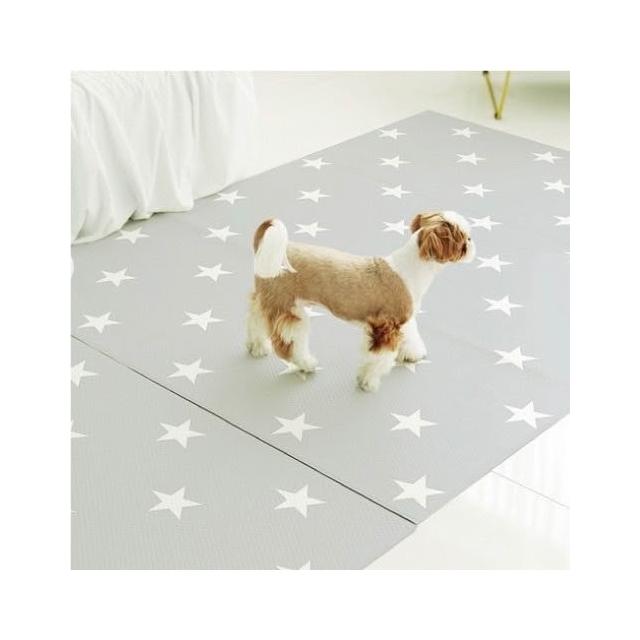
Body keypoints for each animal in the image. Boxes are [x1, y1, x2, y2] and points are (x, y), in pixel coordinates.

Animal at [246, 211, 475, 391]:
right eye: (464, 238)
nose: (472, 242)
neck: (411, 268)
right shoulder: (385, 327)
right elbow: (378, 358)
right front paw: (367, 381)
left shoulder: (405, 319)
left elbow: (411, 336)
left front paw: (412, 354)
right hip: (289, 308)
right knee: (290, 344)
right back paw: (305, 363)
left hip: (267, 298)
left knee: (255, 319)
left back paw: (256, 347)